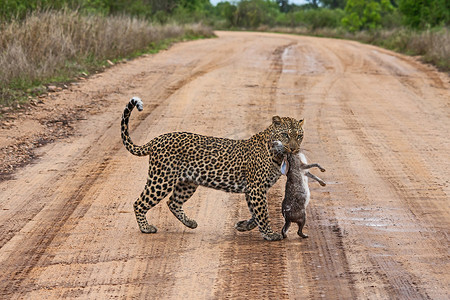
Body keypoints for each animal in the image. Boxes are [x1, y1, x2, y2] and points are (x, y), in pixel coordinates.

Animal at [121, 97, 304, 240]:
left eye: (299, 136)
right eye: (286, 135)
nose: (294, 148)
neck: (276, 153)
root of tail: (156, 140)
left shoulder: (253, 189)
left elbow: (255, 212)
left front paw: (244, 226)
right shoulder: (256, 188)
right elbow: (262, 212)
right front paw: (270, 234)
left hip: (188, 183)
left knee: (172, 202)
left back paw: (190, 223)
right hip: (161, 179)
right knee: (139, 203)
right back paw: (146, 228)